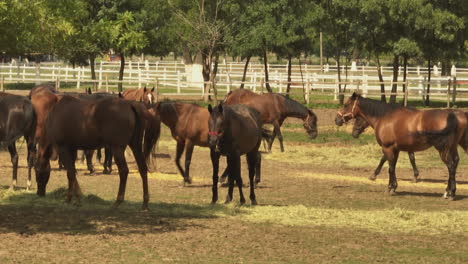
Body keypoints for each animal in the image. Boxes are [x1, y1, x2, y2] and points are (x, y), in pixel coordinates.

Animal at [334, 93, 466, 200]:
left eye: (346, 104)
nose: (337, 119)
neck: (384, 117)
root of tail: (454, 116)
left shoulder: (387, 148)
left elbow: (390, 168)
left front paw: (389, 188)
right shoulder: (396, 149)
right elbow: (393, 166)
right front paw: (394, 186)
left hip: (443, 150)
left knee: (451, 167)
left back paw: (450, 193)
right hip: (452, 147)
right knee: (454, 164)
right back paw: (448, 192)